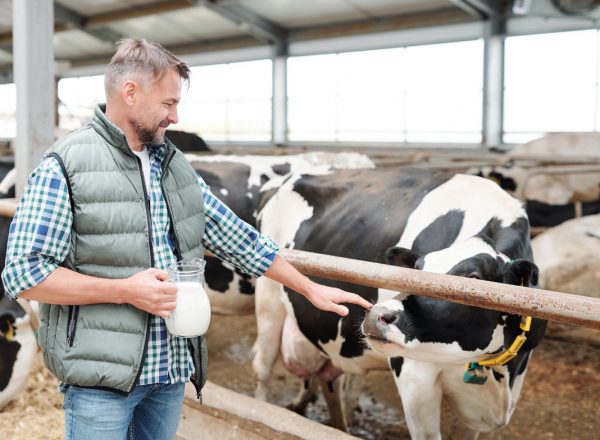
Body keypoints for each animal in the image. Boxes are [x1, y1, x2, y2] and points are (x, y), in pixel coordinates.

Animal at [253, 168, 548, 436]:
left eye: (473, 277)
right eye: (416, 269)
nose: (377, 315)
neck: (500, 380)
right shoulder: (414, 377)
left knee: (331, 384)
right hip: (268, 299)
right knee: (263, 368)